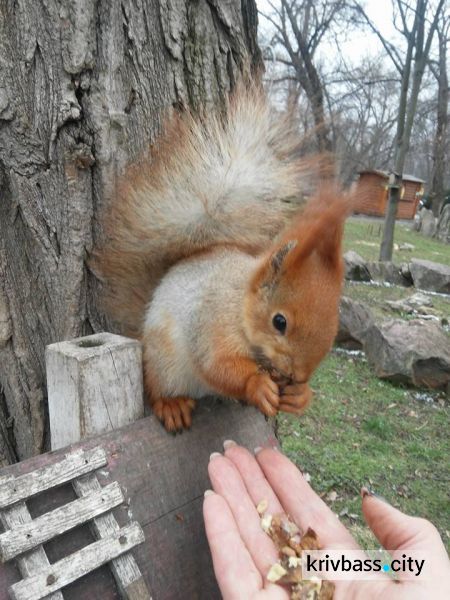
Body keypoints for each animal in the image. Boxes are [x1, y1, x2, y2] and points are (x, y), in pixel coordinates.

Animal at [97, 85, 348, 432]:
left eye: (336, 323)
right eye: (279, 322)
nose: (297, 375)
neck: (241, 305)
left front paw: (300, 395)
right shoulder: (212, 320)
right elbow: (217, 364)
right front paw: (258, 386)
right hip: (164, 362)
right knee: (157, 387)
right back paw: (171, 404)